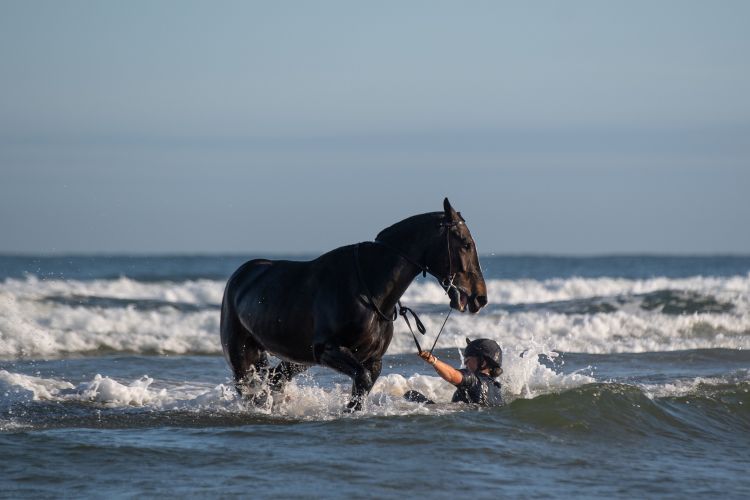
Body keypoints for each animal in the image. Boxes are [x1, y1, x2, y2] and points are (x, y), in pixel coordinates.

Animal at [220, 198, 488, 410]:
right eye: (465, 243)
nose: (480, 297)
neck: (369, 291)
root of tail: (240, 276)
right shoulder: (329, 349)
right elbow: (363, 379)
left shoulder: (372, 360)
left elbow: (363, 386)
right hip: (242, 355)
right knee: (251, 388)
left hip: (296, 358)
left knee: (275, 379)